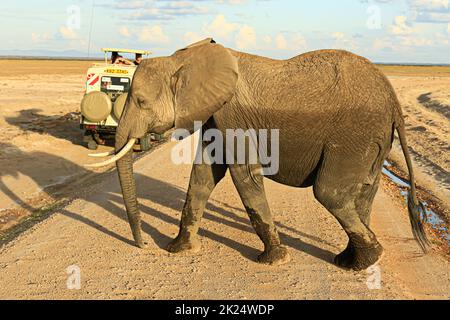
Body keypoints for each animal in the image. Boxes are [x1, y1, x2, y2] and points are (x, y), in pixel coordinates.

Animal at [88, 38, 428, 272]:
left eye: (141, 101)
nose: (143, 244)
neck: (182, 59)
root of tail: (394, 101)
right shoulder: (215, 114)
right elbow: (203, 176)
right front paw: (178, 249)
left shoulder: (232, 114)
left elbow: (243, 175)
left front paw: (273, 260)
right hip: (372, 140)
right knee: (363, 193)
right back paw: (350, 261)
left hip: (354, 135)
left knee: (329, 192)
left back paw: (367, 260)